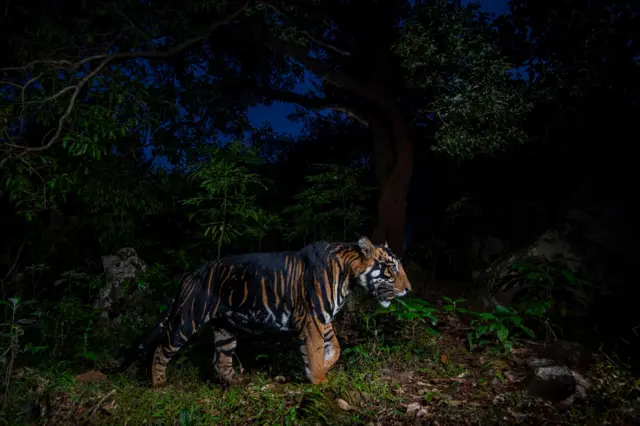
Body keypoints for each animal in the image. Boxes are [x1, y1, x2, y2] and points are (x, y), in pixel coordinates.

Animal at [118, 236, 411, 388]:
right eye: (392, 267)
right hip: (186, 319)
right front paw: (319, 380)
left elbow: (335, 347)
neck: (349, 277)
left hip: (225, 329)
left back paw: (237, 382)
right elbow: (316, 351)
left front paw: (325, 366)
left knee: (220, 360)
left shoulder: (322, 318)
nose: (408, 289)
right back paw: (158, 384)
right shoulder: (313, 318)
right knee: (161, 349)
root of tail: (191, 273)